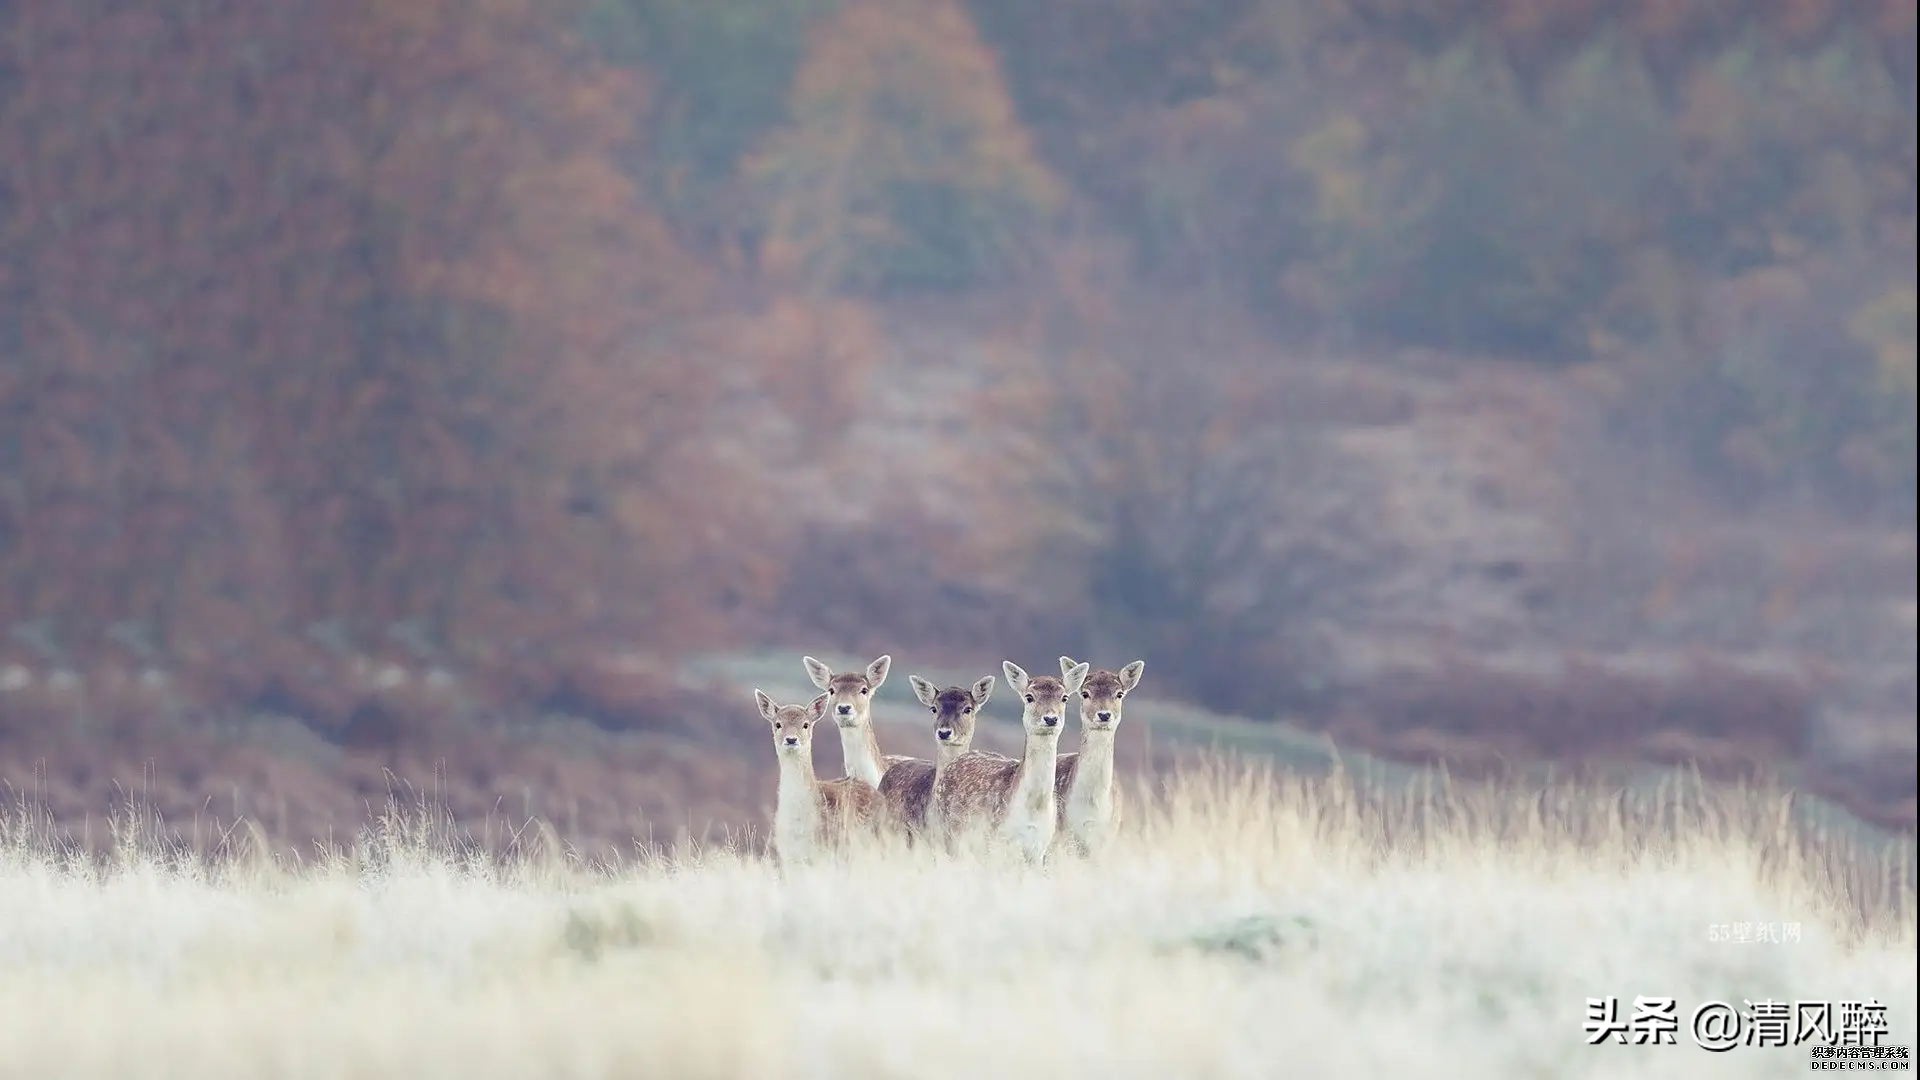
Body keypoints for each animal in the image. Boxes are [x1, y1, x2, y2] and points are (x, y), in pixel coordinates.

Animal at [933, 653, 1090, 860]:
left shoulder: (1040, 847)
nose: (1050, 718)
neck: (1033, 808)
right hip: (948, 832)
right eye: (1029, 697)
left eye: (1064, 697)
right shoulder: (997, 839)